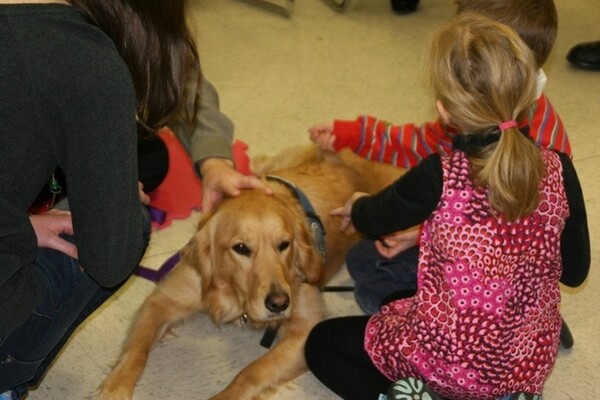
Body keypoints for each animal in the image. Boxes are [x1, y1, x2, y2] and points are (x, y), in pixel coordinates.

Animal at [97, 147, 404, 400]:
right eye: (241, 248)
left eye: (284, 244)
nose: (279, 304)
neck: (233, 294)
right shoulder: (164, 299)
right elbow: (136, 350)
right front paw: (115, 387)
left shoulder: (306, 327)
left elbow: (251, 372)